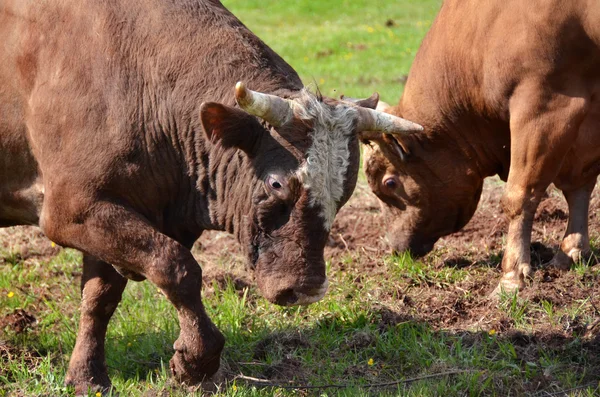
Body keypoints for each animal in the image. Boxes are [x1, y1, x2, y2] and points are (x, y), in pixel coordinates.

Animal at [0, 0, 422, 392]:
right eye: (276, 184)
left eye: (346, 191)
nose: (305, 289)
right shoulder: (70, 209)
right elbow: (176, 266)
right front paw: (194, 360)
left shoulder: (120, 211)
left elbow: (100, 297)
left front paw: (88, 377)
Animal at [364, 0, 600, 294]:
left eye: (390, 183)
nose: (396, 249)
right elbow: (578, 188)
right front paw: (570, 252)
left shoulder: (544, 104)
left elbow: (519, 196)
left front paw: (512, 275)